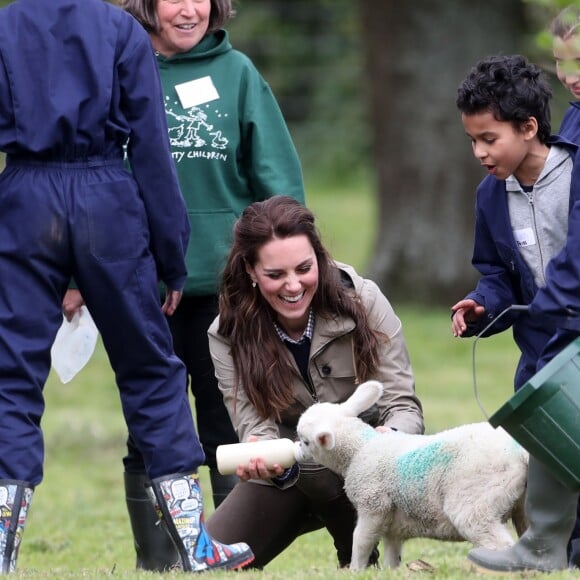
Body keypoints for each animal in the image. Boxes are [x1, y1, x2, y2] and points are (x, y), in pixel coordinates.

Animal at [296, 378, 528, 568]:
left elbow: (361, 540)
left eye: (306, 441)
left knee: (497, 541)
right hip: (522, 503)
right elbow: (392, 554)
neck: (361, 448)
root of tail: (521, 453)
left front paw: (356, 570)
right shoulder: (394, 526)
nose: (297, 449)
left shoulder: (373, 504)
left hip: (476, 496)